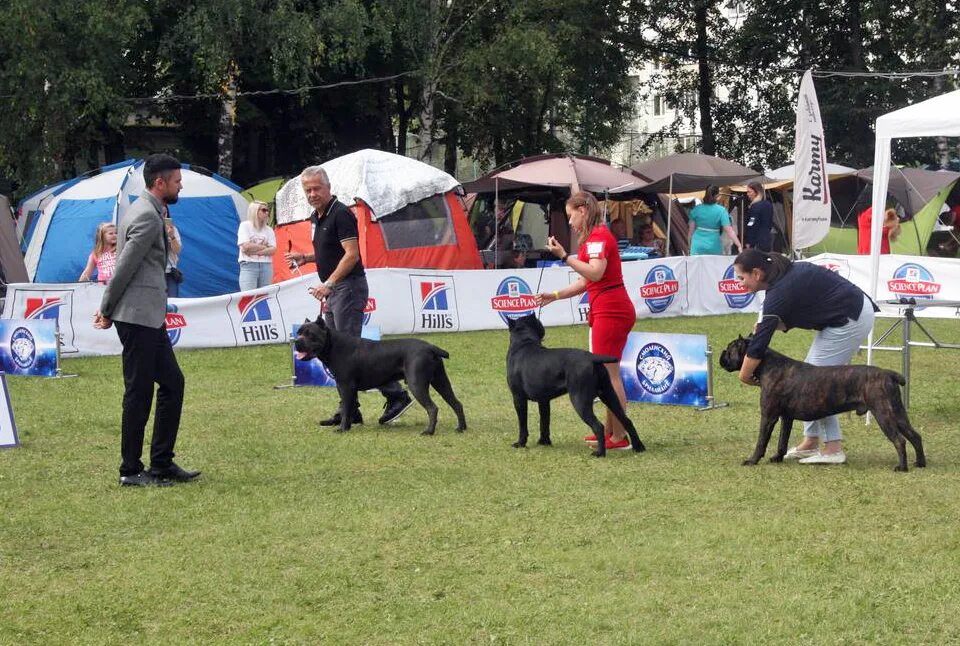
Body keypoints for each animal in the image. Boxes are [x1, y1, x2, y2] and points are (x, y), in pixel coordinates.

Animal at [296, 318, 468, 438]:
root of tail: (431, 347)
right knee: (456, 403)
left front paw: (342, 428)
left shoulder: (345, 385)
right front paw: (349, 425)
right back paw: (461, 428)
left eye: (310, 334)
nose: (296, 341)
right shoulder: (348, 388)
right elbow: (351, 406)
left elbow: (345, 408)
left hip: (417, 384)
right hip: (440, 381)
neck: (334, 345)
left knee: (432, 408)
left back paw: (429, 431)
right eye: (299, 332)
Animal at [506, 316, 640, 458]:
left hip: (579, 400)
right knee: (626, 420)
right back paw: (639, 447)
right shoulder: (544, 400)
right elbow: (544, 422)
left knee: (598, 426)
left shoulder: (518, 398)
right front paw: (544, 442)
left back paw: (600, 453)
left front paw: (520, 443)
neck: (523, 342)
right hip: (609, 395)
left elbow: (522, 424)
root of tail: (592, 358)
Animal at [716, 340, 928, 470]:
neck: (768, 365)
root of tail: (888, 374)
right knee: (915, 436)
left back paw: (902, 467)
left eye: (730, 348)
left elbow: (761, 442)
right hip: (898, 414)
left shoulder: (768, 417)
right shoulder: (786, 418)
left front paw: (752, 460)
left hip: (884, 414)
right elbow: (782, 442)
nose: (721, 354)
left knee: (900, 440)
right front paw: (778, 458)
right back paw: (920, 463)